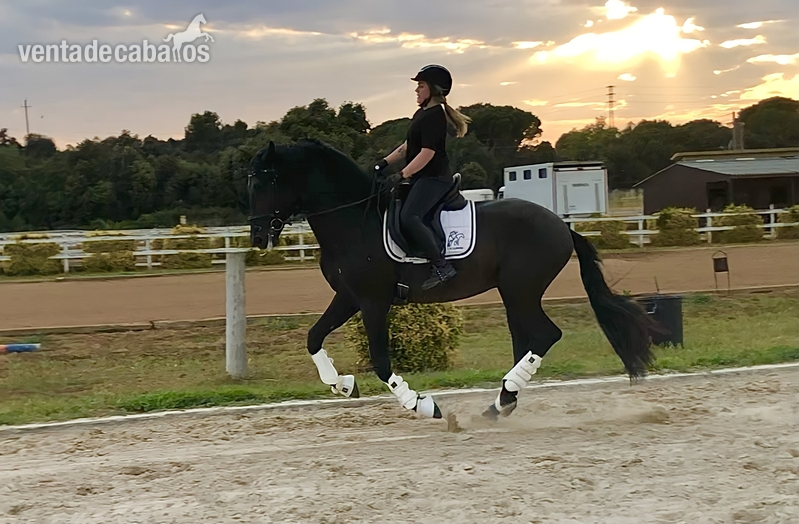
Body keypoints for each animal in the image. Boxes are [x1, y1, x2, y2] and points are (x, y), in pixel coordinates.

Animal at [248, 139, 655, 420]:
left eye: (267, 181)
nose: (257, 237)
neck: (354, 222)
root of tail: (560, 224)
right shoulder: (349, 297)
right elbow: (313, 337)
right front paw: (342, 384)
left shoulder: (373, 301)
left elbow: (381, 361)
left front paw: (421, 404)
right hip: (514, 294)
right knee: (525, 339)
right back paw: (502, 401)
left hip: (521, 290)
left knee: (545, 335)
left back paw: (503, 397)